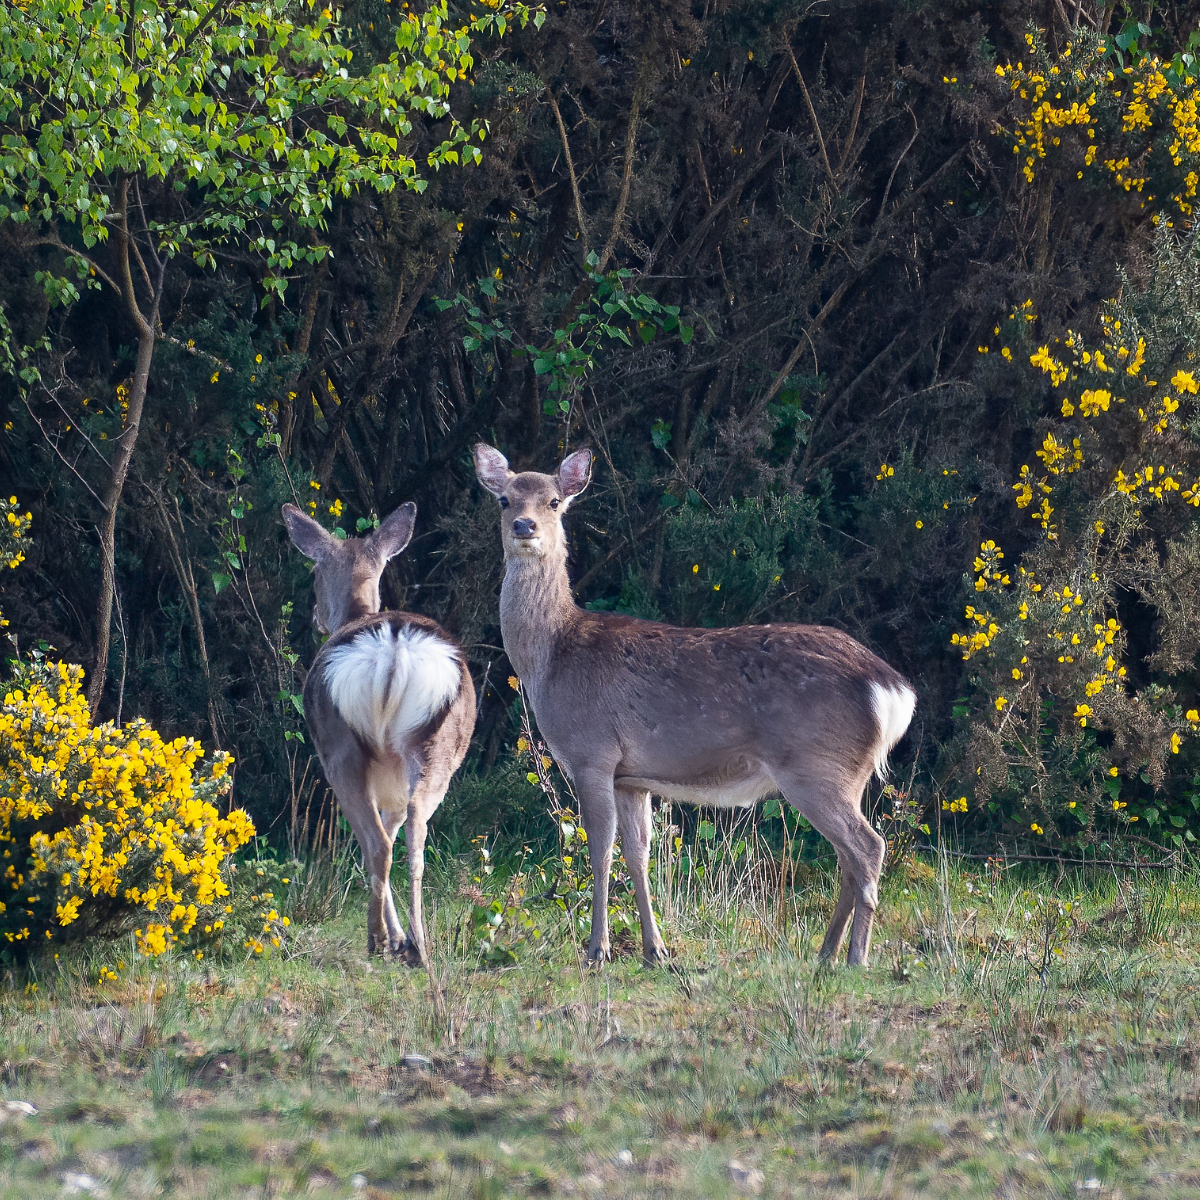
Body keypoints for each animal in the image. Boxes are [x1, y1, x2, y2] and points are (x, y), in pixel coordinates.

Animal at [282, 502, 475, 966]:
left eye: (314, 571)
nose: (313, 615)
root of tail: (393, 647)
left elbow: (373, 839)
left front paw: (392, 937)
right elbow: (394, 825)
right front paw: (403, 937)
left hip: (340, 750)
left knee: (376, 844)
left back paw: (379, 940)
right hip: (435, 745)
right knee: (414, 836)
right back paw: (420, 947)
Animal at [473, 445, 915, 968]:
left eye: (555, 501)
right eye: (503, 499)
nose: (525, 526)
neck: (551, 656)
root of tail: (893, 689)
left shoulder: (591, 753)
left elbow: (599, 853)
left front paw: (597, 950)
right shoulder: (631, 776)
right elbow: (637, 854)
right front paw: (655, 951)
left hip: (817, 764)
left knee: (868, 847)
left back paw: (855, 957)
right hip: (846, 772)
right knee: (850, 855)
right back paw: (826, 953)